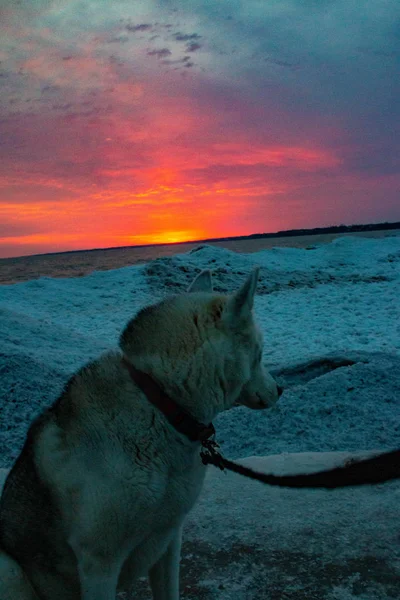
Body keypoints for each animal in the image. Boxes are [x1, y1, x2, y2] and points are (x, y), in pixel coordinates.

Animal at [0, 270, 280, 596]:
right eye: (260, 354)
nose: (280, 389)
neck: (161, 404)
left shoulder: (169, 538)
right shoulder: (99, 562)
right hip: (10, 570)